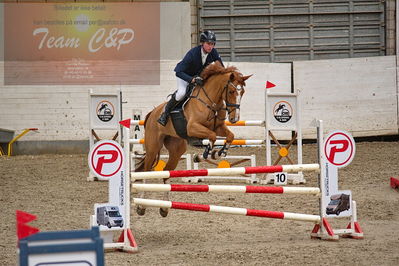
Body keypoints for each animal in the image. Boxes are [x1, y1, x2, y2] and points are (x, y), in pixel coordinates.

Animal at [136, 61, 252, 216]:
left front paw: (219, 153)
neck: (212, 101)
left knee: (166, 173)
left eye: (242, 93)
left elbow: (229, 136)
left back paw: (164, 208)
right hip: (153, 147)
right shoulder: (193, 127)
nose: (234, 119)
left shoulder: (219, 127)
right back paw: (141, 206)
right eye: (231, 92)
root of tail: (152, 114)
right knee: (147, 171)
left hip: (176, 150)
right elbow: (212, 136)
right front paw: (205, 153)